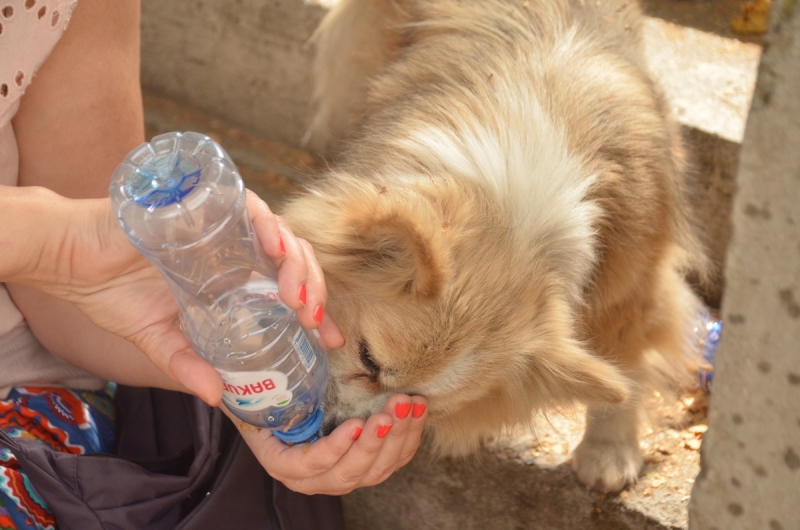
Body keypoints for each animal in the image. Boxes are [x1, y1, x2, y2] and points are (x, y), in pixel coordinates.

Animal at [280, 0, 708, 490]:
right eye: (367, 359)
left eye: (418, 402)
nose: (335, 431)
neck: (517, 213)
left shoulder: (633, 275)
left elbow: (627, 365)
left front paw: (610, 449)